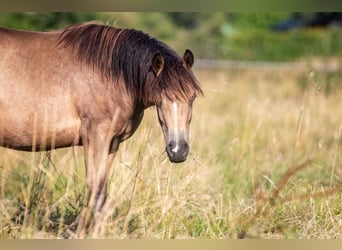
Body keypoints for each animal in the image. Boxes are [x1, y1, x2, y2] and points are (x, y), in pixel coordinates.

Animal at [0, 22, 203, 237]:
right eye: (159, 99)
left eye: (192, 98)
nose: (178, 151)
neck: (112, 75)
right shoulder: (95, 138)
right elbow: (94, 191)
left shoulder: (112, 143)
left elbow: (102, 193)